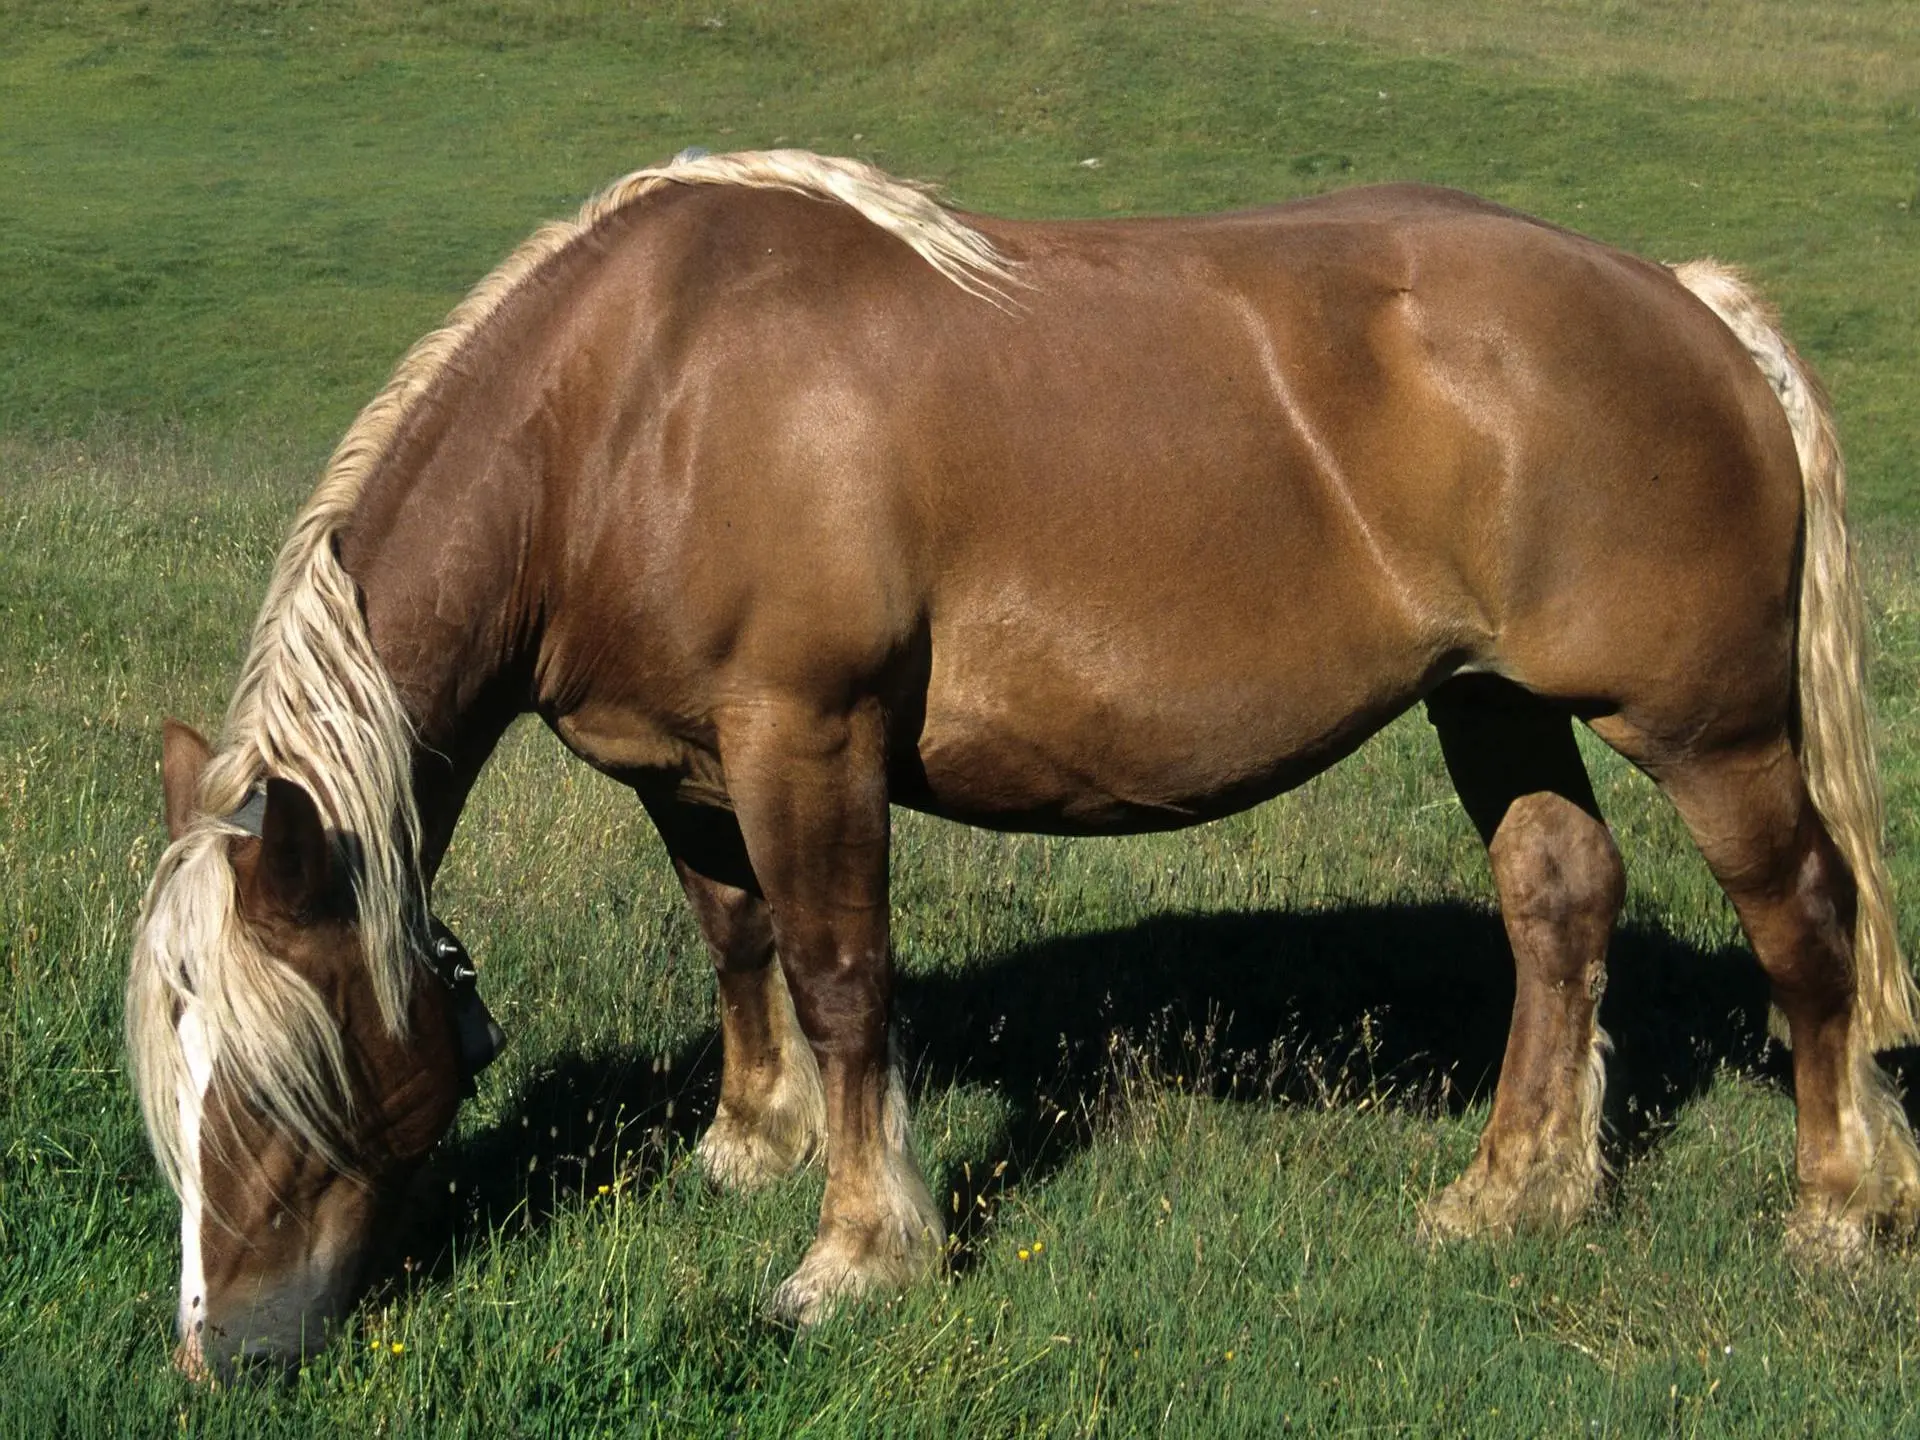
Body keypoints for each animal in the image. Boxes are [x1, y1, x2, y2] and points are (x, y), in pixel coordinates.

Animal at [127, 152, 1920, 1382]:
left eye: (289, 1069)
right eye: (180, 1059)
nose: (227, 1351)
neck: (632, 412)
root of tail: (1690, 303)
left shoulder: (808, 736)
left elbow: (843, 978)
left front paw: (857, 1251)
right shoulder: (683, 772)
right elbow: (741, 947)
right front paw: (747, 1148)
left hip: (1704, 730)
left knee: (1805, 925)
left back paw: (1837, 1207)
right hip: (1492, 701)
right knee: (1561, 902)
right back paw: (1514, 1194)